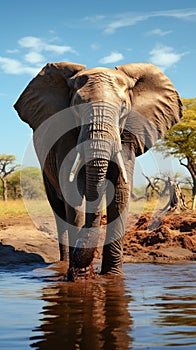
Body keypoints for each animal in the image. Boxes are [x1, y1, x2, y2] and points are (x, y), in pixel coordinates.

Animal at [14, 59, 183, 278]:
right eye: (77, 106)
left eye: (123, 107)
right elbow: (74, 191)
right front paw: (79, 277)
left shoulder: (128, 134)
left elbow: (120, 192)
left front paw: (112, 277)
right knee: (58, 209)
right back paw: (64, 263)